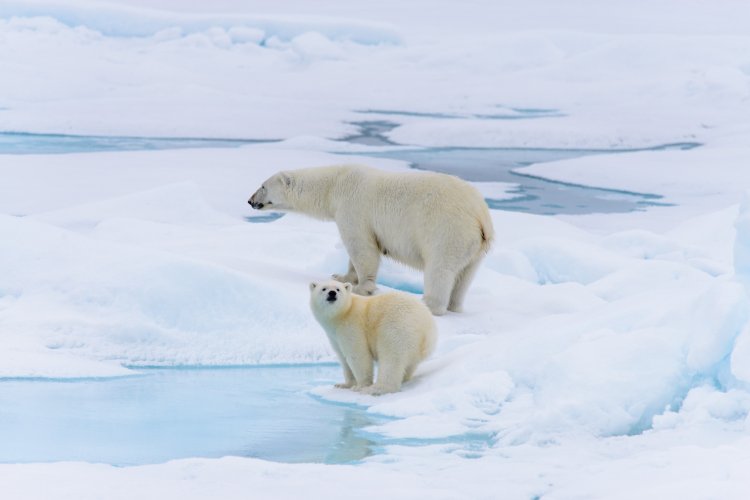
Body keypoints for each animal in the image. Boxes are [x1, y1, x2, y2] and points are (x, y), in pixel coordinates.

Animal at [248, 165, 494, 312]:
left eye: (262, 186)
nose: (250, 200)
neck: (335, 184)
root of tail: (480, 215)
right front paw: (341, 276)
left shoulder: (353, 208)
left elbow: (362, 247)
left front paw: (361, 288)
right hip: (475, 247)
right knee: (464, 277)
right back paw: (455, 306)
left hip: (447, 230)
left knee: (440, 269)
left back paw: (428, 304)